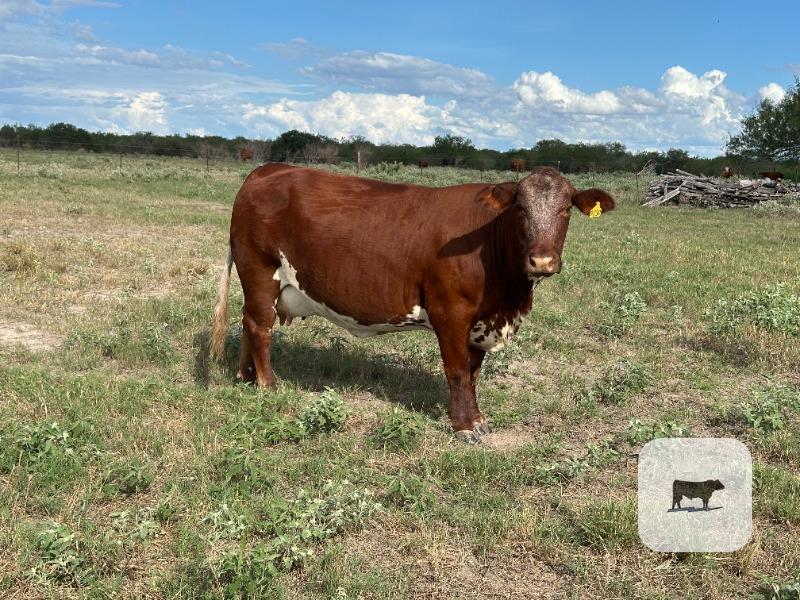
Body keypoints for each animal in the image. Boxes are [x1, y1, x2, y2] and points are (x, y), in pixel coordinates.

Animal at [210, 164, 615, 443]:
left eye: (565, 210)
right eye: (520, 209)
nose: (542, 261)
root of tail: (267, 169)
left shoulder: (480, 321)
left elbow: (473, 372)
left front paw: (478, 419)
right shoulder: (451, 312)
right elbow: (457, 371)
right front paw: (464, 426)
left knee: (248, 322)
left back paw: (244, 376)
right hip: (260, 270)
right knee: (259, 327)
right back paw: (268, 385)